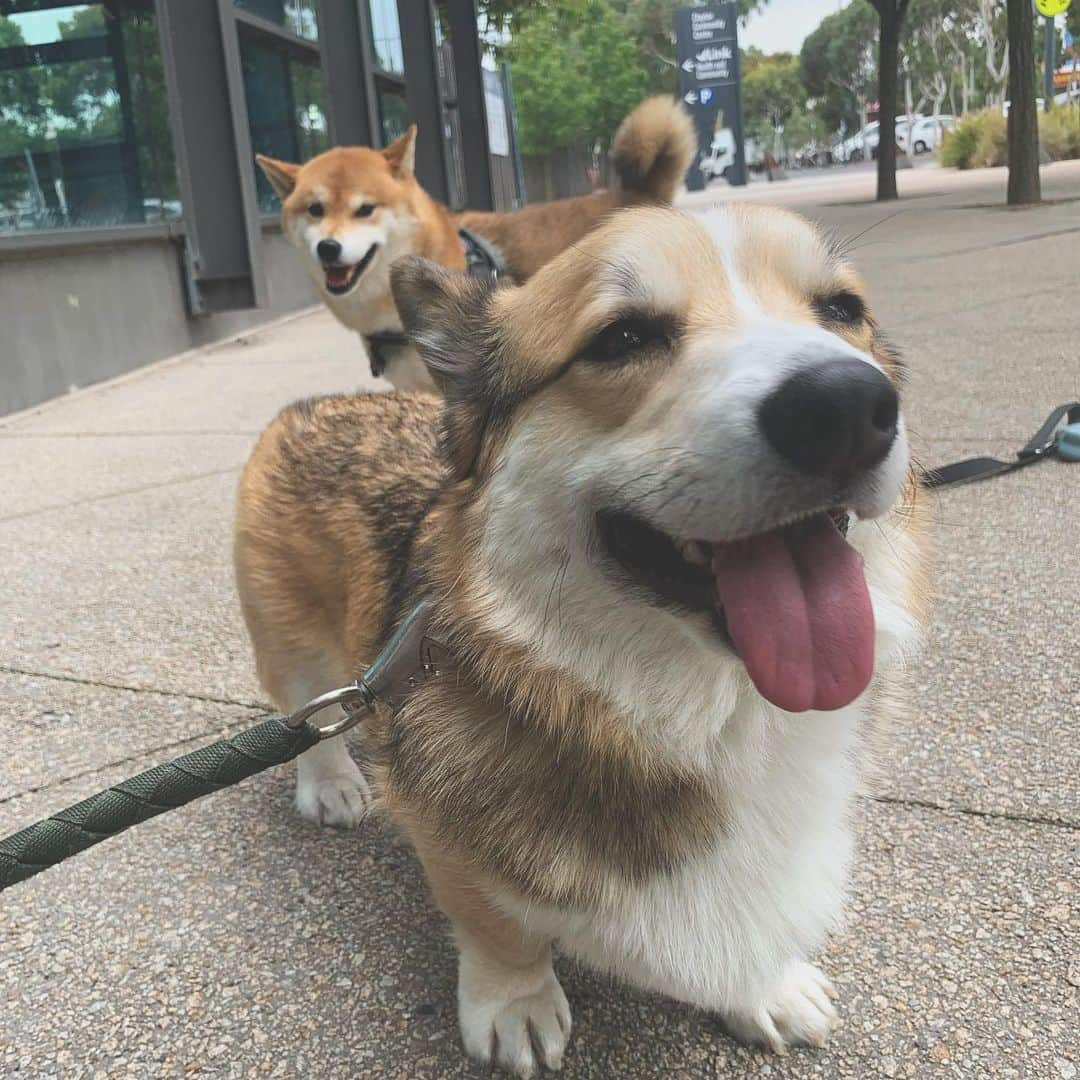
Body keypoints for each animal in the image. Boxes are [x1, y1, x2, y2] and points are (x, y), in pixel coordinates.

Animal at [234, 206, 928, 1075]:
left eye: (842, 309)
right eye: (621, 337)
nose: (844, 407)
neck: (709, 711)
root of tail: (309, 403)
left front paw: (763, 985)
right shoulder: (450, 839)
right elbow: (497, 928)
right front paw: (515, 1004)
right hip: (290, 642)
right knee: (306, 716)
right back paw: (330, 784)